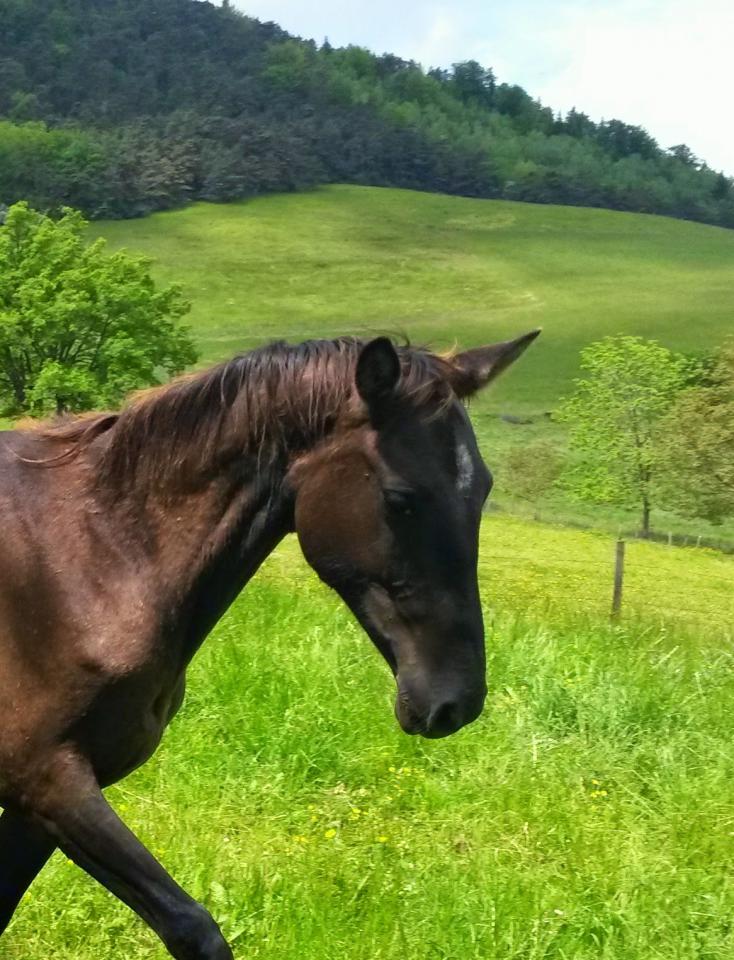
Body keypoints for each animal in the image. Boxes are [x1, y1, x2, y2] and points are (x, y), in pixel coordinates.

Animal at [0, 331, 539, 959]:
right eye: (400, 498)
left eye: (483, 490)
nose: (457, 702)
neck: (92, 555)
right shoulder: (48, 781)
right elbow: (194, 929)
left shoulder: (41, 805)